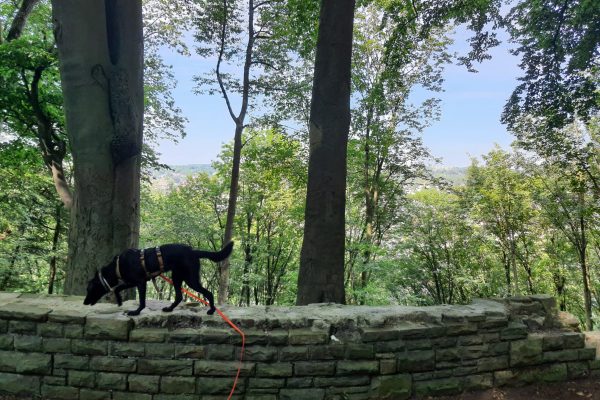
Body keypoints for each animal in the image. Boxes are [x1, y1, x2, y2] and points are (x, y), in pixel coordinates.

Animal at [83, 241, 233, 316]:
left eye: (89, 289)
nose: (84, 302)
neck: (117, 266)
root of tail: (194, 251)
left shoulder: (140, 282)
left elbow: (142, 302)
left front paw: (136, 312)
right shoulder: (131, 282)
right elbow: (117, 289)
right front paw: (119, 301)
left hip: (190, 279)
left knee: (209, 293)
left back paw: (211, 310)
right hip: (177, 277)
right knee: (179, 296)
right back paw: (169, 309)